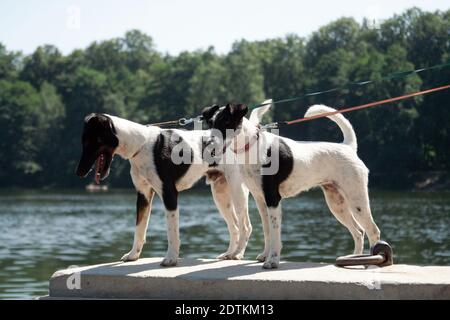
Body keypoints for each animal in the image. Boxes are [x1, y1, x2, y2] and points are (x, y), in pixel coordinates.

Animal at [205, 104, 384, 268]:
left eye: (226, 121)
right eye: (211, 123)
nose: (208, 143)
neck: (252, 146)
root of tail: (347, 147)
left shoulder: (273, 199)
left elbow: (275, 233)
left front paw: (273, 260)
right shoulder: (260, 200)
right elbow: (267, 231)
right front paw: (265, 255)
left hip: (357, 201)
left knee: (373, 231)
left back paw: (372, 263)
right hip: (337, 203)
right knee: (359, 232)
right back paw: (355, 259)